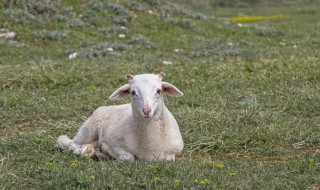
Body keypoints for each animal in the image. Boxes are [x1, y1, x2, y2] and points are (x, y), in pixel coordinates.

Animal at [56, 72, 184, 161]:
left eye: (158, 91)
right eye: (133, 92)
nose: (147, 111)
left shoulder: (174, 151)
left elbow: (168, 158)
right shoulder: (112, 141)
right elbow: (129, 158)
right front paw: (106, 151)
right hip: (88, 130)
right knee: (67, 142)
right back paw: (85, 151)